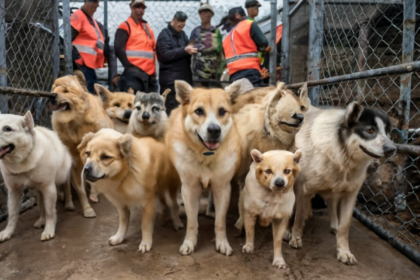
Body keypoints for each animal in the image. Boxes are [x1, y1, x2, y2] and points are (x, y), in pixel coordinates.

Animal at [0, 110, 72, 242]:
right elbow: (12, 215)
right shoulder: (13, 191)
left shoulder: (49, 188)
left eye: (7, 129)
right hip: (38, 191)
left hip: (63, 178)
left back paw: (68, 203)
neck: (22, 163)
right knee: (41, 207)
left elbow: (50, 212)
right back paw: (41, 221)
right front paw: (8, 232)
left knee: (66, 188)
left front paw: (49, 230)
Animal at [49, 75, 114, 217]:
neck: (76, 122)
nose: (52, 96)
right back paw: (68, 203)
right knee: (67, 185)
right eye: (54, 90)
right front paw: (87, 209)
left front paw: (93, 194)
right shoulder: (75, 164)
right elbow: (80, 190)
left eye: (66, 91)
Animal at [166, 80, 241, 255]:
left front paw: (222, 242)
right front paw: (189, 242)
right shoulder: (189, 188)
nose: (214, 130)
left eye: (222, 111)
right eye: (199, 111)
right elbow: (192, 222)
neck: (206, 155)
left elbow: (220, 222)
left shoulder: (222, 188)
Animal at [290, 101, 396, 264]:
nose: (392, 149)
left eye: (389, 133)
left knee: (332, 204)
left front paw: (344, 252)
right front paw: (295, 237)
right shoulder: (304, 190)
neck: (341, 156)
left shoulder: (349, 196)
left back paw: (334, 225)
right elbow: (298, 216)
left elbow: (344, 227)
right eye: (370, 130)